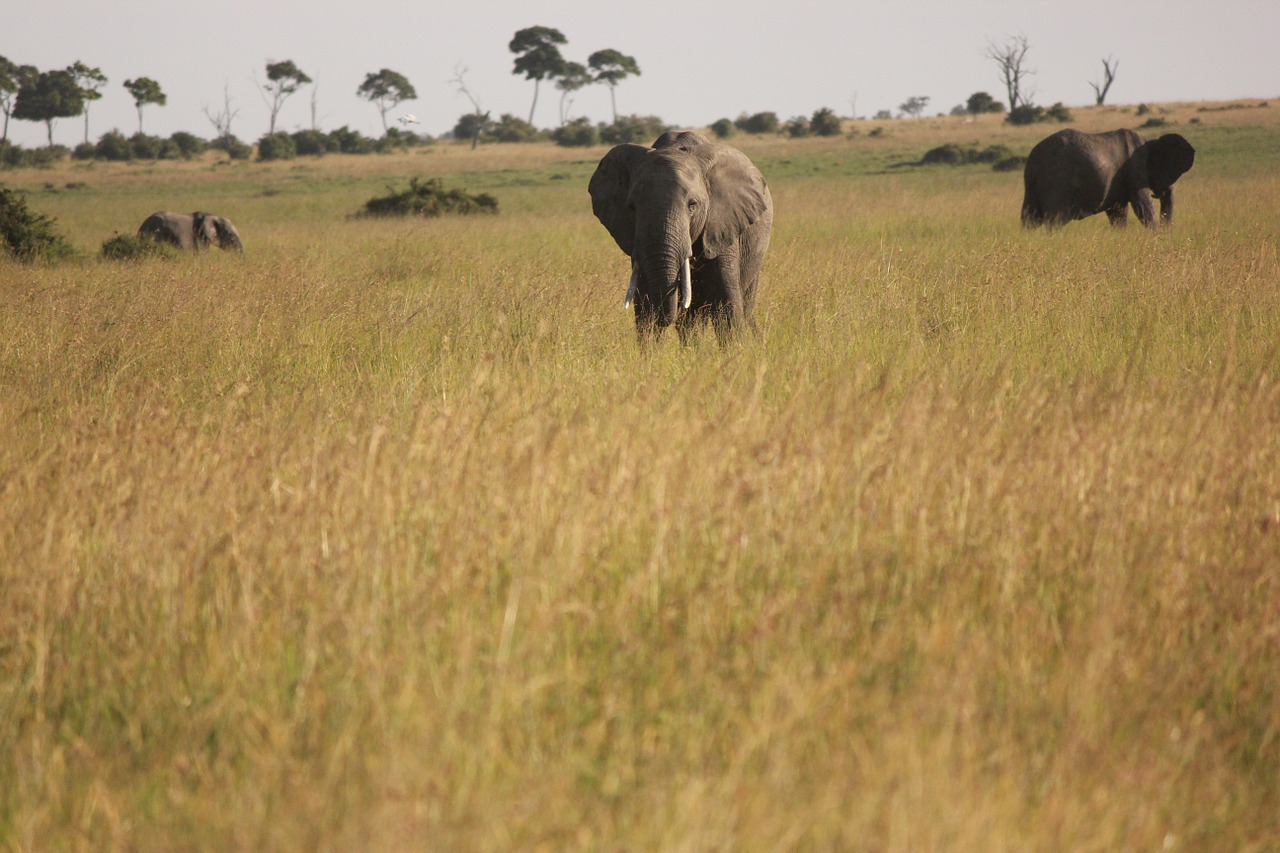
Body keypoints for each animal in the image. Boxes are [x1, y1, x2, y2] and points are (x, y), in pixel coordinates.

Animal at [586, 128, 768, 340]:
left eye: (692, 205)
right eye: (631, 206)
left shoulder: (722, 225)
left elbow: (726, 305)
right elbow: (644, 304)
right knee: (692, 320)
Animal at [1024, 128, 1192, 227]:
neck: (1148, 142)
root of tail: (1034, 156)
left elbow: (1118, 213)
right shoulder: (1135, 169)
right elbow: (1143, 205)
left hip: (1032, 183)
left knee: (1030, 219)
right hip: (1057, 180)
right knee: (1055, 220)